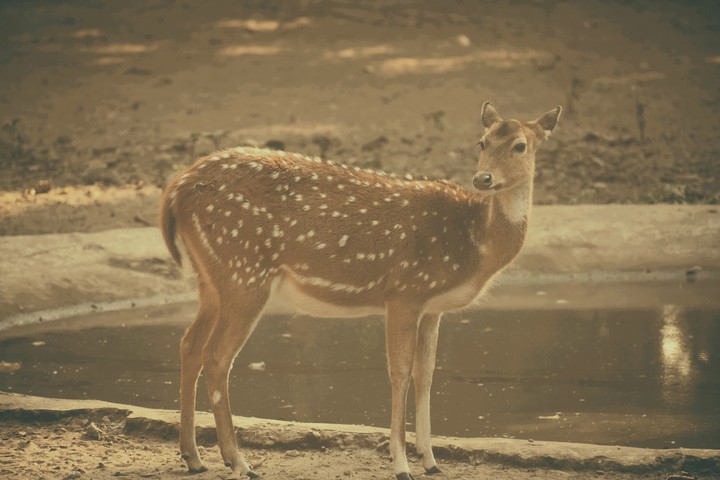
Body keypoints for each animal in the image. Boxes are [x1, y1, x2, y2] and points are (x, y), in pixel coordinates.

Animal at [159, 102, 561, 479]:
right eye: (483, 142)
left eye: (520, 145)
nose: (483, 178)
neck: (474, 245)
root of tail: (175, 190)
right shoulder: (404, 292)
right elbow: (400, 372)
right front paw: (401, 464)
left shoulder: (433, 307)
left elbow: (426, 373)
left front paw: (431, 461)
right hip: (244, 272)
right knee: (217, 356)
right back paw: (239, 462)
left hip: (212, 280)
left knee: (189, 344)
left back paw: (193, 458)